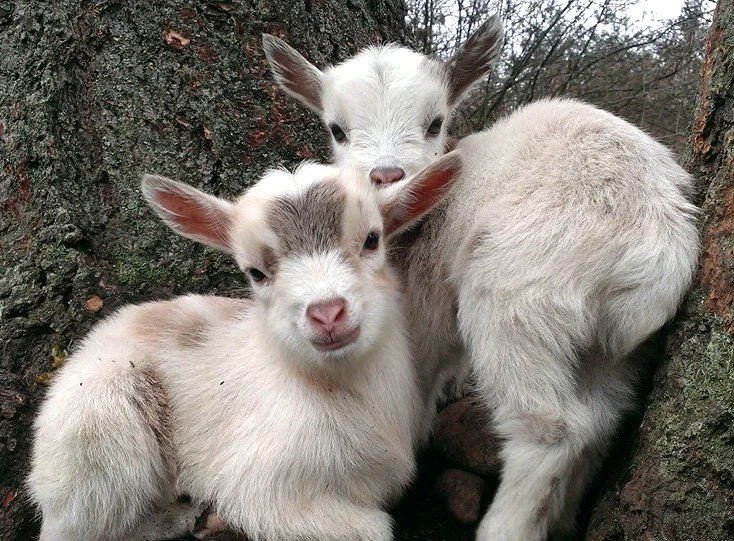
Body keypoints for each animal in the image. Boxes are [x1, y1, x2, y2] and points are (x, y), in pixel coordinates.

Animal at [28, 152, 463, 541]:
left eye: (373, 239)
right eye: (255, 272)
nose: (327, 314)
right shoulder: (263, 489)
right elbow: (375, 529)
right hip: (100, 425)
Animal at [264, 18, 700, 540]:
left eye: (435, 122)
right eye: (337, 129)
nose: (386, 177)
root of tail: (660, 243)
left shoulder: (422, 306)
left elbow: (415, 381)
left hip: (517, 291)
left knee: (550, 428)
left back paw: (507, 524)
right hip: (617, 348)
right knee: (600, 421)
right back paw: (562, 518)